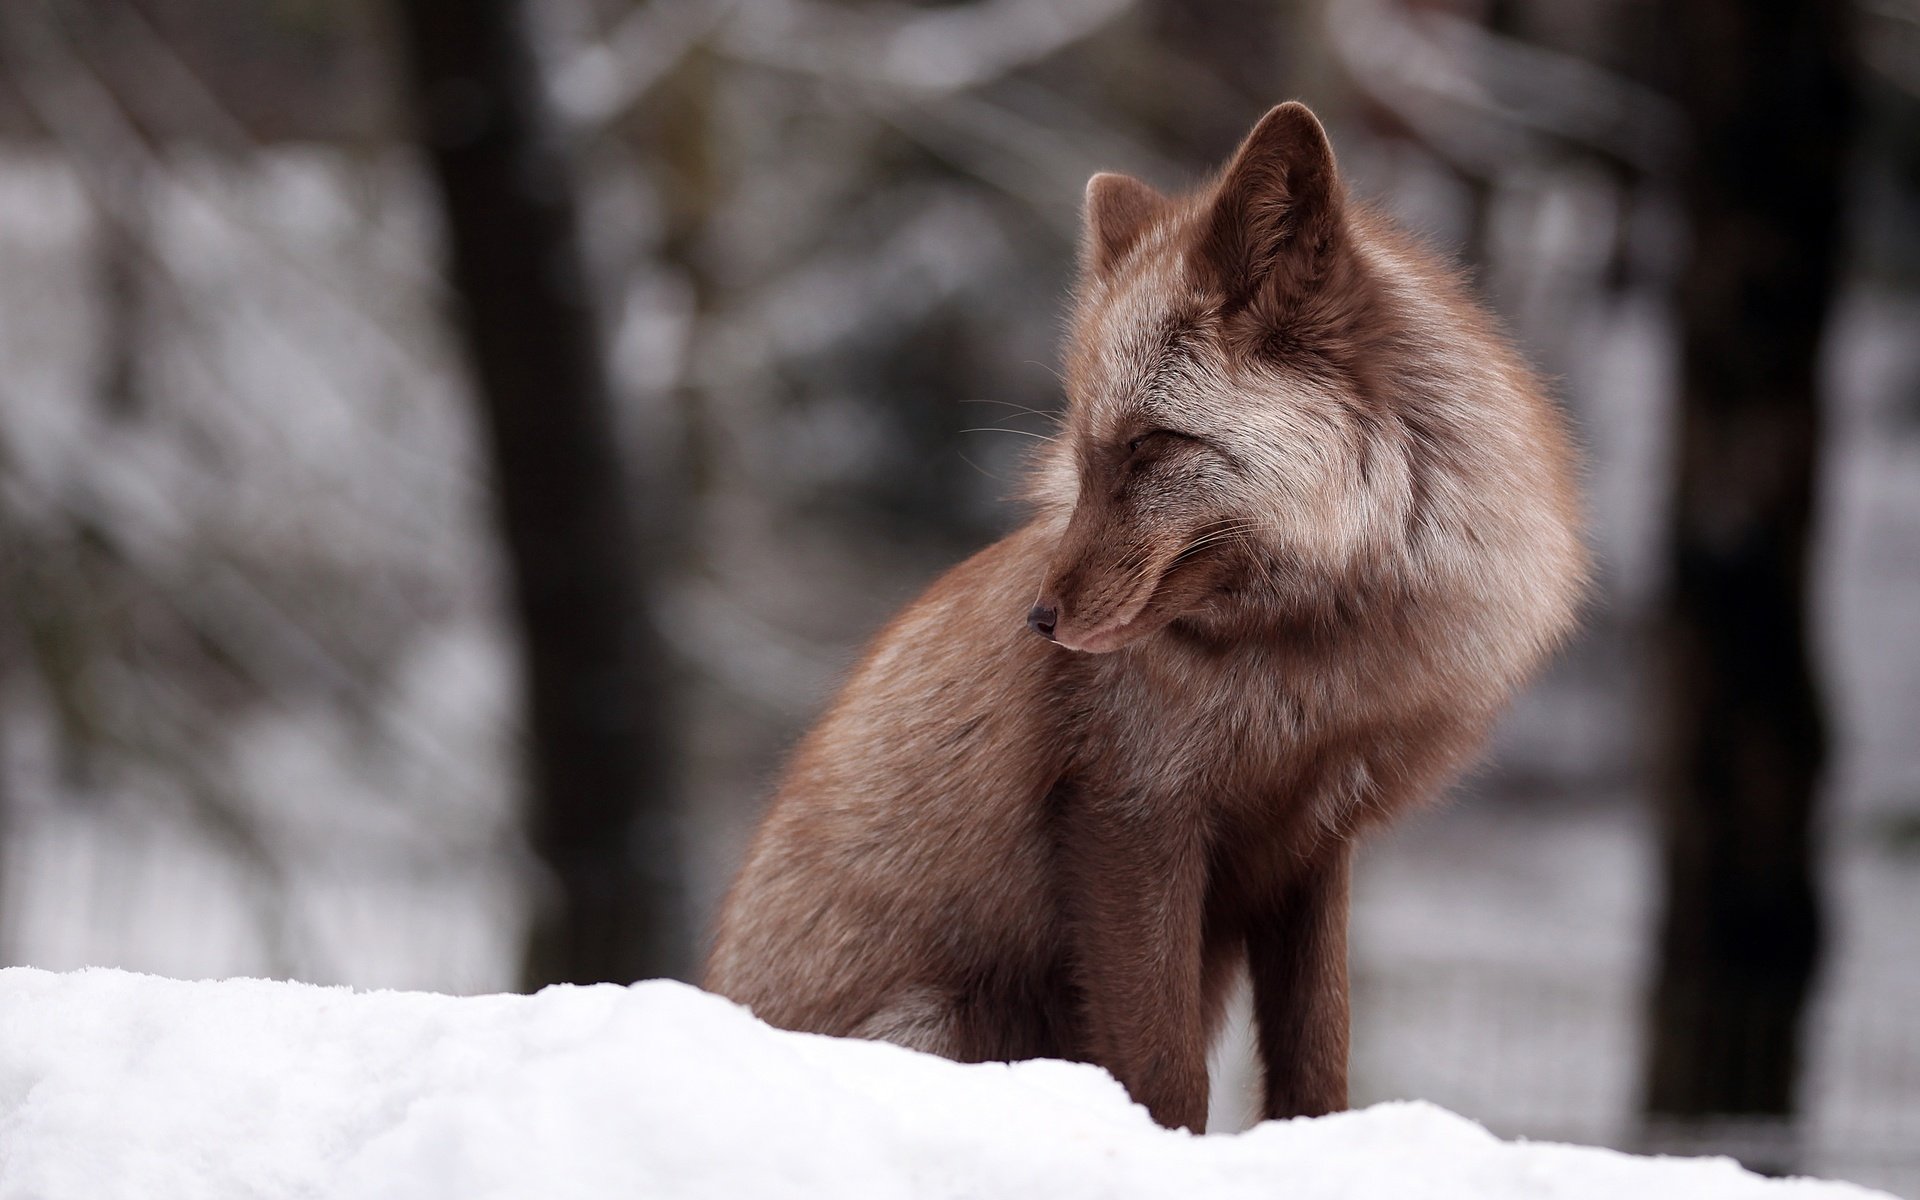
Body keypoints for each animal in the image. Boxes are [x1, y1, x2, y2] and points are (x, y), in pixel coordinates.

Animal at [706, 98, 1589, 1128]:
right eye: (1085, 455)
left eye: (1151, 447)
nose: (1041, 621)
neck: (1311, 675)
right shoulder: (1129, 815)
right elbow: (1167, 1075)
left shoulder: (1313, 844)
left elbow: (1316, 1064)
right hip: (948, 1022)